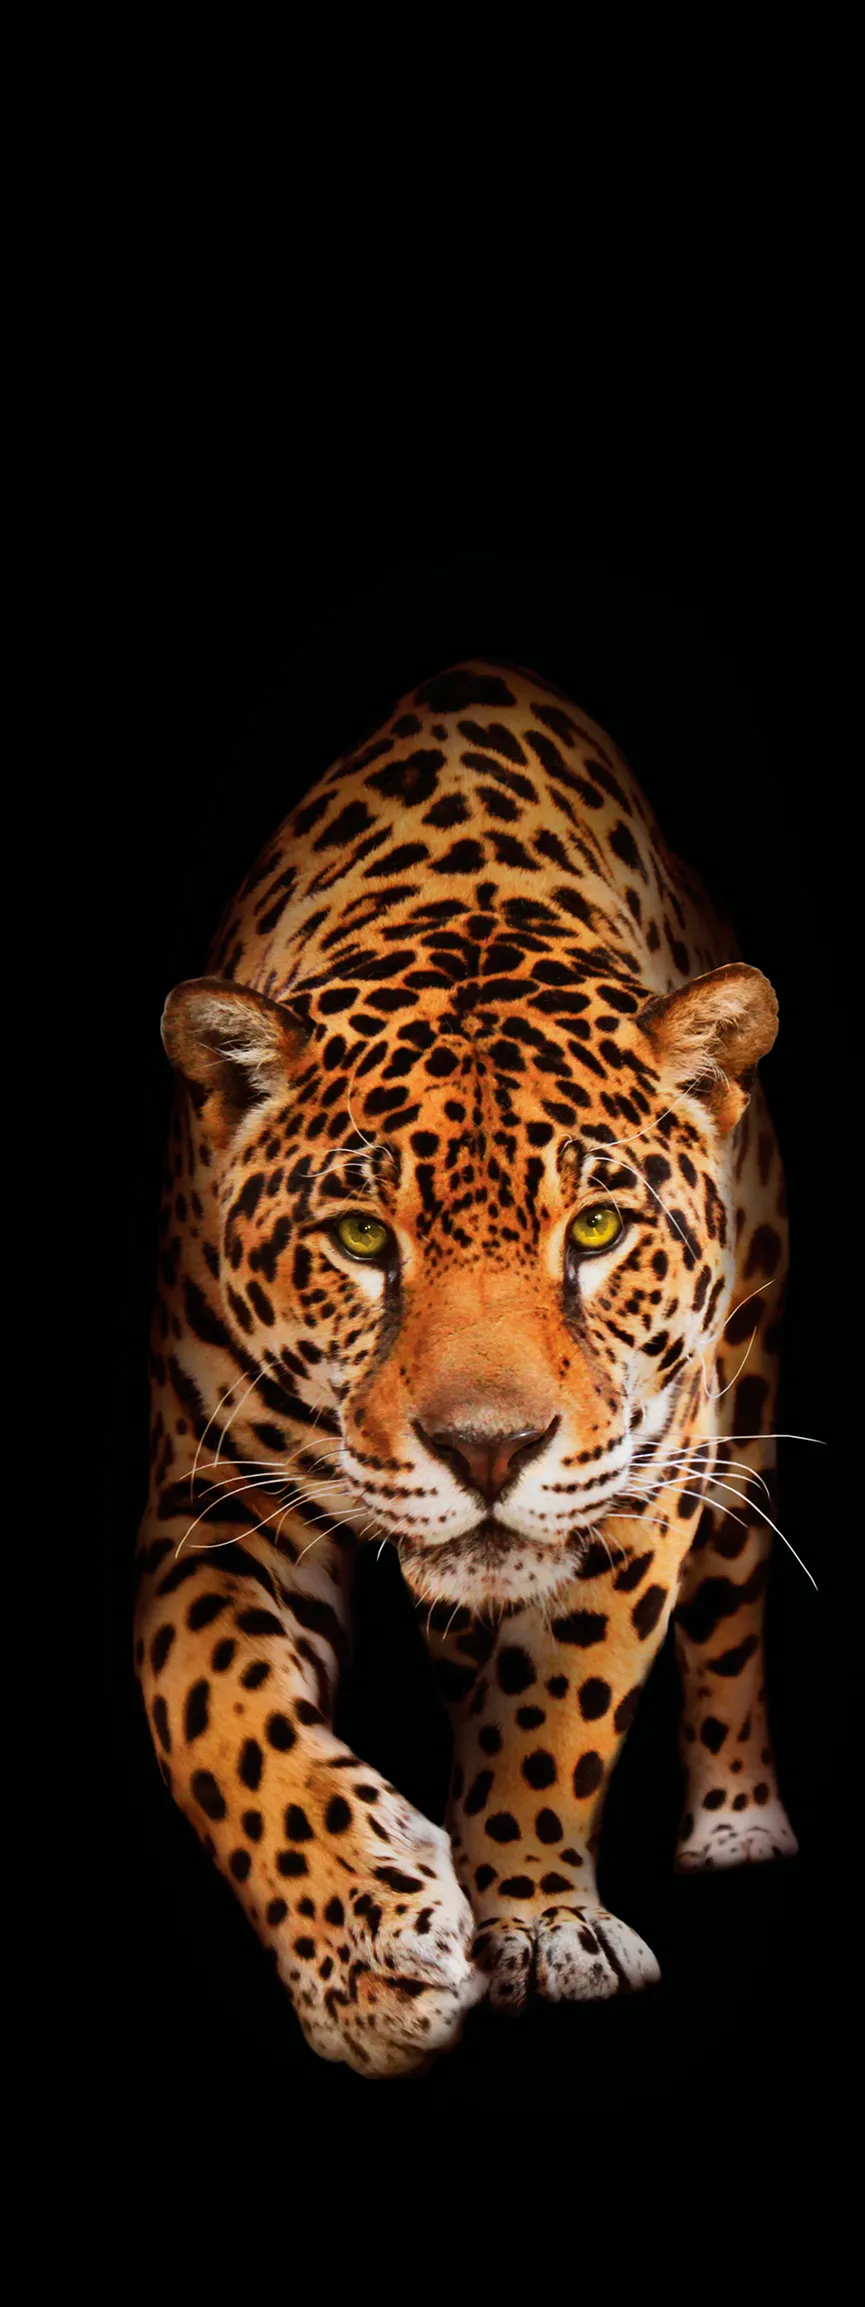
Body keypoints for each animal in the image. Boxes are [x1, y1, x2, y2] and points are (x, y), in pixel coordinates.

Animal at [134, 658, 798, 2078]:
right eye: (358, 1238)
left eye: (595, 1231)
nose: (487, 1450)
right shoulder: (211, 1504)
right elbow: (220, 1715)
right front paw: (369, 1955)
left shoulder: (648, 1474)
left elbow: (557, 1702)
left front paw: (539, 1921)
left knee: (727, 1617)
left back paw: (737, 1826)